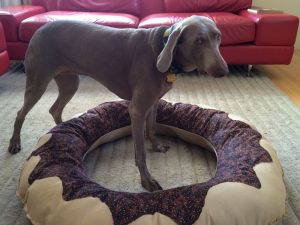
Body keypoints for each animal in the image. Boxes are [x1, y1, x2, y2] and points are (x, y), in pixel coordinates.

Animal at [8, 15, 229, 192]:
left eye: (218, 36)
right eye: (199, 41)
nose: (223, 71)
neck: (163, 49)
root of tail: (40, 29)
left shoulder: (153, 102)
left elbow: (152, 127)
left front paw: (156, 145)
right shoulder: (137, 109)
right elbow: (140, 151)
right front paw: (147, 180)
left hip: (69, 81)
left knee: (54, 109)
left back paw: (65, 130)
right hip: (38, 81)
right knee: (20, 113)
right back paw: (14, 143)